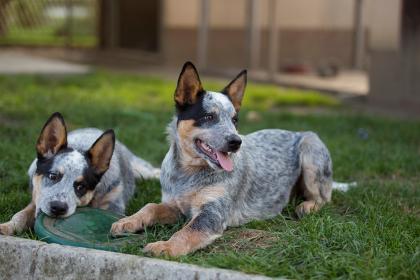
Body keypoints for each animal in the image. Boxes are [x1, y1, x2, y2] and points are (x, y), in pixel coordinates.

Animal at [0, 111, 160, 236]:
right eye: (53, 176)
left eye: (81, 186)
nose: (58, 207)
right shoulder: (35, 199)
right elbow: (20, 215)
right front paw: (6, 227)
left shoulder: (114, 206)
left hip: (142, 170)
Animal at [112, 61, 342, 258]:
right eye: (208, 117)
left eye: (234, 120)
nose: (236, 142)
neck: (188, 173)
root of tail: (297, 132)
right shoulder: (175, 206)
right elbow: (150, 206)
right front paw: (127, 221)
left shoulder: (211, 213)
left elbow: (186, 232)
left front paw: (165, 247)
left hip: (311, 148)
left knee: (324, 198)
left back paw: (307, 206)